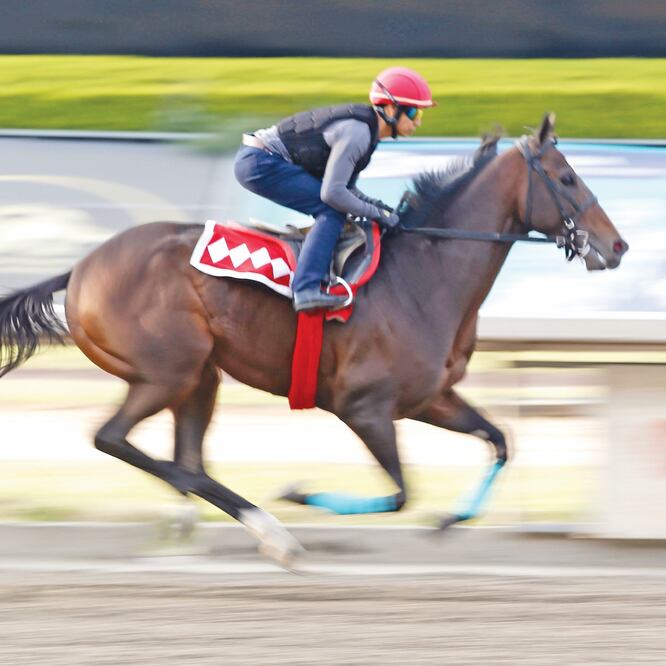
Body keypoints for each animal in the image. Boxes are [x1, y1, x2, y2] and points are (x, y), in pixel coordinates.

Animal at [0, 113, 628, 566]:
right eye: (567, 178)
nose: (617, 245)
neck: (425, 274)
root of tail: (81, 268)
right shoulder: (363, 407)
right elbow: (401, 493)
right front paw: (300, 494)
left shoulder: (430, 399)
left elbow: (498, 441)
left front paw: (452, 520)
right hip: (166, 372)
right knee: (121, 442)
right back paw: (266, 526)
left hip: (200, 376)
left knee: (187, 461)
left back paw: (233, 527)